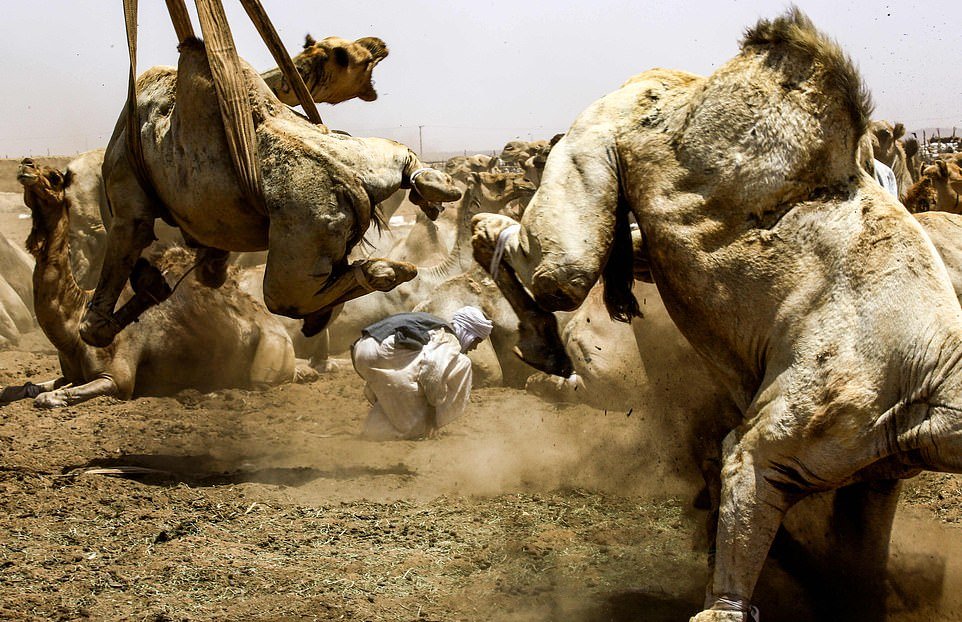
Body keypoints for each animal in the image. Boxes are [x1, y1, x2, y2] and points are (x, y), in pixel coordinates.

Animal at [12, 158, 312, 408]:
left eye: (54, 177)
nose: (26, 165)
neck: (74, 320)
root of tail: (281, 332)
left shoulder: (117, 378)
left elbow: (53, 395)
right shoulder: (70, 371)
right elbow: (38, 386)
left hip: (271, 352)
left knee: (257, 384)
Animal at [77, 37, 460, 352]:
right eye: (358, 59)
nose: (378, 46)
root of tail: (347, 181)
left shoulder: (129, 198)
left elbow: (132, 237)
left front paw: (102, 322)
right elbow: (207, 263)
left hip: (301, 239)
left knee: (284, 297)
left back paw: (381, 273)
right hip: (365, 163)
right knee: (401, 155)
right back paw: (434, 193)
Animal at [468, 8, 960, 620]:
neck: (933, 373)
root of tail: (667, 80)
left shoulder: (875, 473)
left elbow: (860, 563)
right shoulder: (790, 432)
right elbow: (743, 487)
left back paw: (540, 338)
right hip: (598, 135)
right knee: (561, 269)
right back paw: (499, 262)